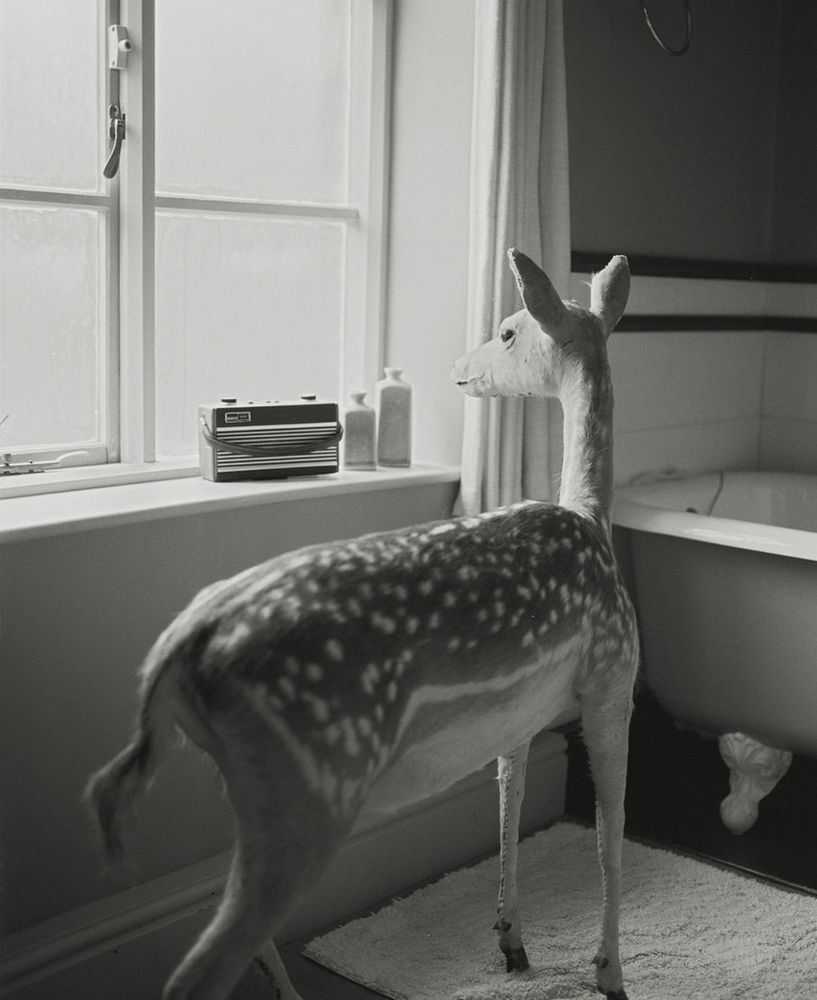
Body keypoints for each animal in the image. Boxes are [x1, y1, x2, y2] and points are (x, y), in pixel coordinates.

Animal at [85, 249, 637, 1000]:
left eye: (506, 331)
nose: (461, 367)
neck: (591, 517)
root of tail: (175, 658)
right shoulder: (614, 677)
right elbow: (610, 833)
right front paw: (609, 974)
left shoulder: (520, 715)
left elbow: (510, 805)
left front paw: (512, 943)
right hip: (313, 780)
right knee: (198, 968)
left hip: (252, 790)